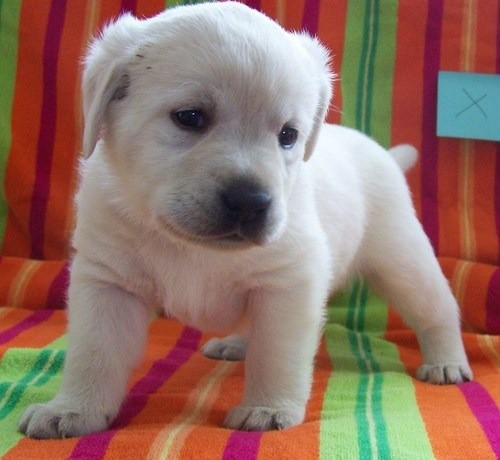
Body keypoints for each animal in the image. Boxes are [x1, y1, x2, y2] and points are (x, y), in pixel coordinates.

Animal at [18, 1, 472, 436]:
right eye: (190, 117)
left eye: (288, 135)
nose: (251, 202)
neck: (190, 246)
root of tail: (386, 156)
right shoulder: (108, 283)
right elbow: (94, 354)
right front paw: (72, 411)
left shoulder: (288, 284)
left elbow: (276, 355)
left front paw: (268, 409)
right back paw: (236, 343)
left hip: (403, 264)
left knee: (437, 310)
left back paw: (446, 361)